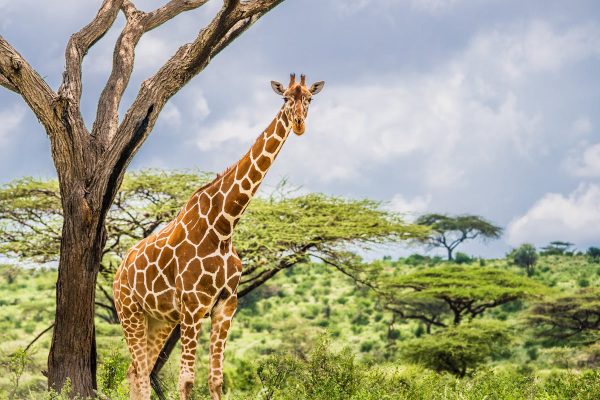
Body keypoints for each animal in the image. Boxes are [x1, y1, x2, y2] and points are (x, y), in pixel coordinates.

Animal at [114, 73, 326, 398]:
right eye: (286, 98)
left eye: (310, 99)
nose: (300, 123)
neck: (224, 226)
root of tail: (118, 272)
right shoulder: (193, 306)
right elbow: (187, 380)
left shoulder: (226, 306)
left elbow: (216, 379)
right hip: (130, 312)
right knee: (138, 372)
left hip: (158, 319)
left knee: (136, 371)